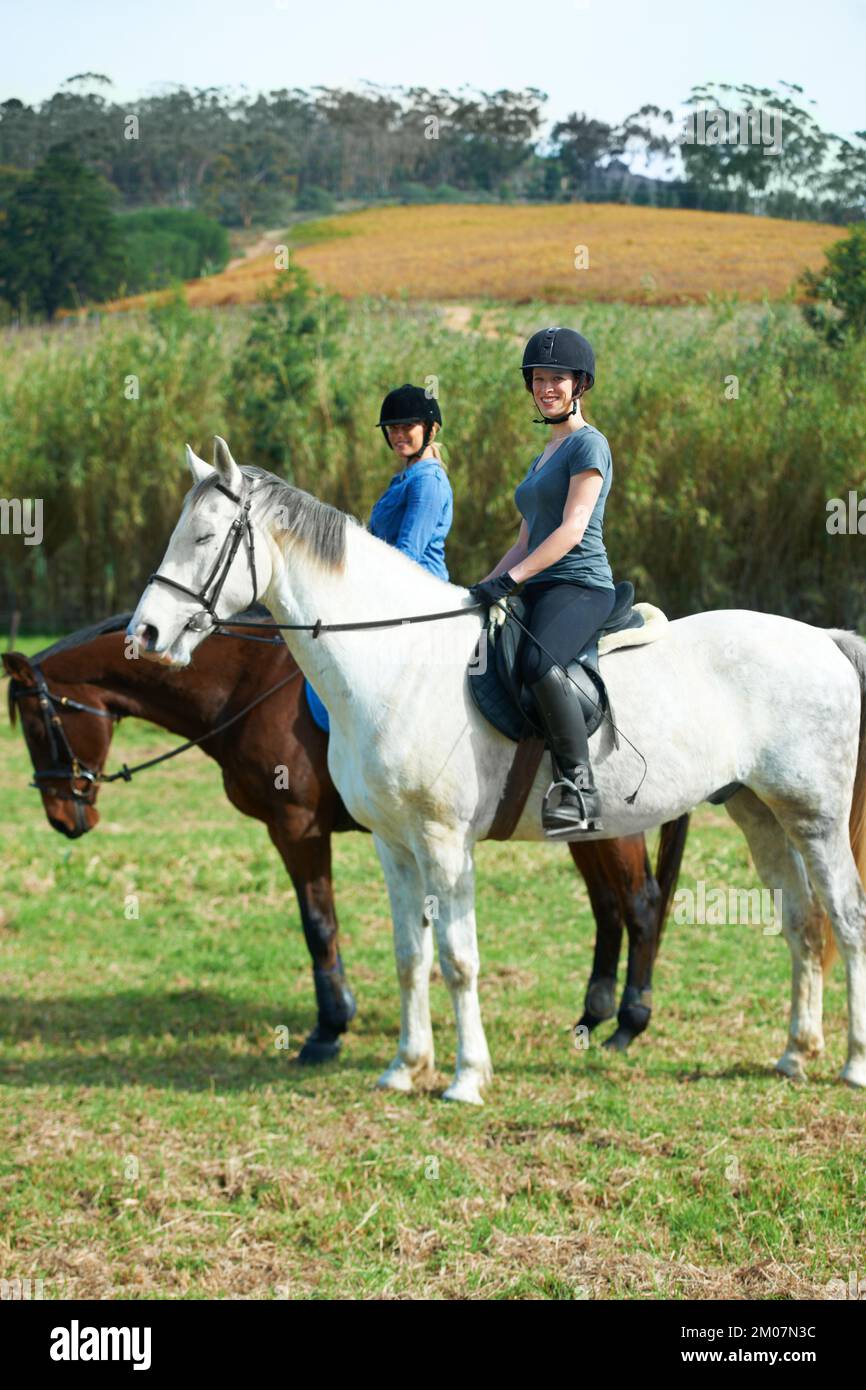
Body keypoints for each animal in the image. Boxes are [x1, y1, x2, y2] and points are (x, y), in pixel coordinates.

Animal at [3, 614, 686, 1056]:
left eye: (38, 723)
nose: (64, 819)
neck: (247, 687)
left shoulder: (297, 828)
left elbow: (318, 924)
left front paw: (330, 1027)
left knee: (639, 904)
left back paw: (628, 1023)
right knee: (608, 908)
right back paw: (592, 1017)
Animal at [125, 439, 866, 1100]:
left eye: (204, 537)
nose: (146, 635)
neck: (396, 661)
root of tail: (824, 640)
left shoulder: (442, 842)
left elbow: (458, 959)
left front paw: (465, 1078)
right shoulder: (394, 845)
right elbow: (411, 956)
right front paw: (405, 1069)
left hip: (814, 817)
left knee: (844, 914)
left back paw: (851, 1064)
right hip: (759, 812)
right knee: (801, 921)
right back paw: (795, 1054)